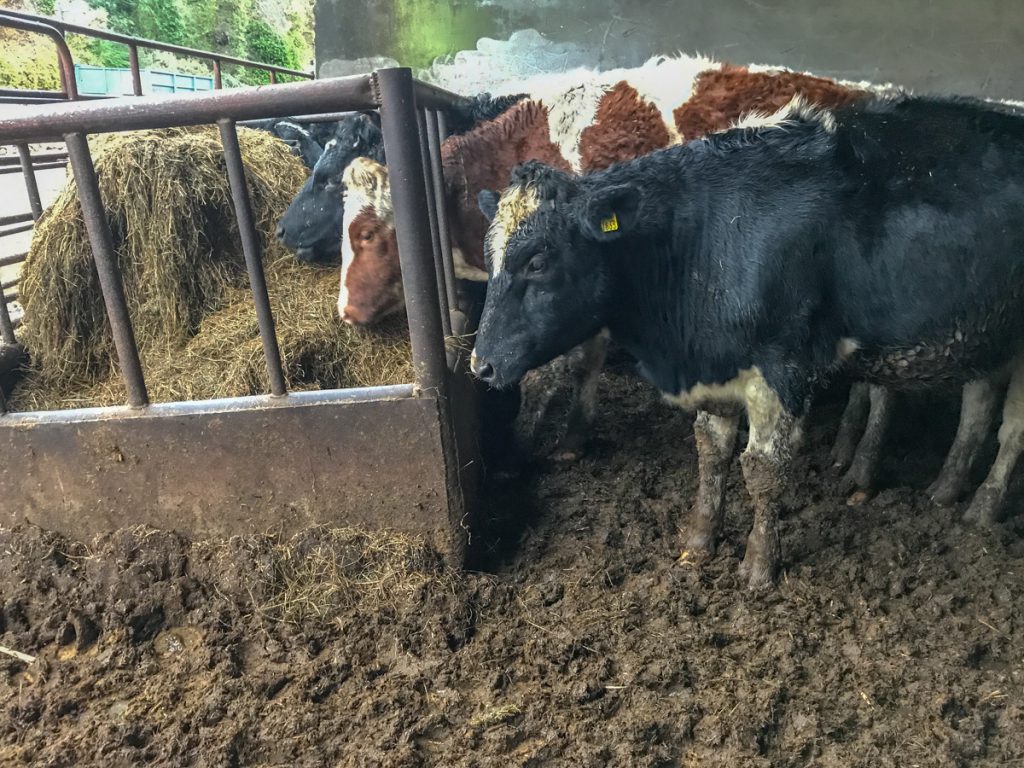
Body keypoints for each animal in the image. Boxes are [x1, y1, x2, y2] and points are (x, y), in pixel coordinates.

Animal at [469, 94, 1024, 588]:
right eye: (489, 256)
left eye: (539, 261)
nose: (481, 365)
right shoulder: (716, 368)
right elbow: (711, 453)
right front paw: (698, 543)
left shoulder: (782, 369)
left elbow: (762, 469)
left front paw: (759, 567)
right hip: (986, 335)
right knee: (977, 409)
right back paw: (945, 490)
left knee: (1011, 432)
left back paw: (981, 509)